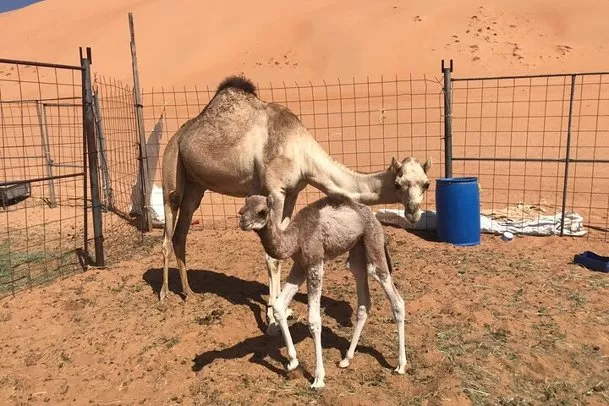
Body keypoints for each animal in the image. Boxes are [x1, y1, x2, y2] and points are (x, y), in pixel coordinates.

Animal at [160, 74, 431, 335]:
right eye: (399, 184)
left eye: (426, 184)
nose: (413, 211)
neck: (301, 153)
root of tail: (178, 135)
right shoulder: (275, 191)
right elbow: (273, 258)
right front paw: (272, 320)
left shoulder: (292, 194)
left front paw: (285, 310)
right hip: (171, 165)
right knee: (168, 227)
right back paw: (164, 296)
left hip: (196, 186)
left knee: (181, 234)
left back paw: (189, 292)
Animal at [238, 193, 407, 389]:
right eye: (241, 210)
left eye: (262, 211)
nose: (243, 222)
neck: (296, 237)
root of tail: (374, 218)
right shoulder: (300, 265)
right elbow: (279, 306)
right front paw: (293, 362)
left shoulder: (314, 263)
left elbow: (314, 320)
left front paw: (318, 379)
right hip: (357, 250)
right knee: (363, 301)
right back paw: (346, 359)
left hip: (373, 241)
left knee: (395, 298)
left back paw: (400, 365)